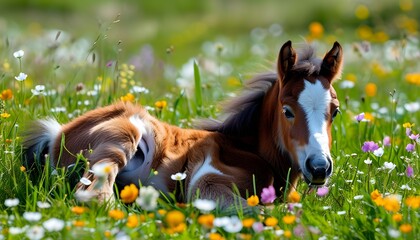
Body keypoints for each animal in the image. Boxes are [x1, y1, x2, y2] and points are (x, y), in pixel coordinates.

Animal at [23, 40, 342, 207]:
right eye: (287, 111)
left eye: (335, 111)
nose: (319, 167)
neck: (248, 149)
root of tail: (58, 132)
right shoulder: (207, 179)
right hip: (124, 135)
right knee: (92, 194)